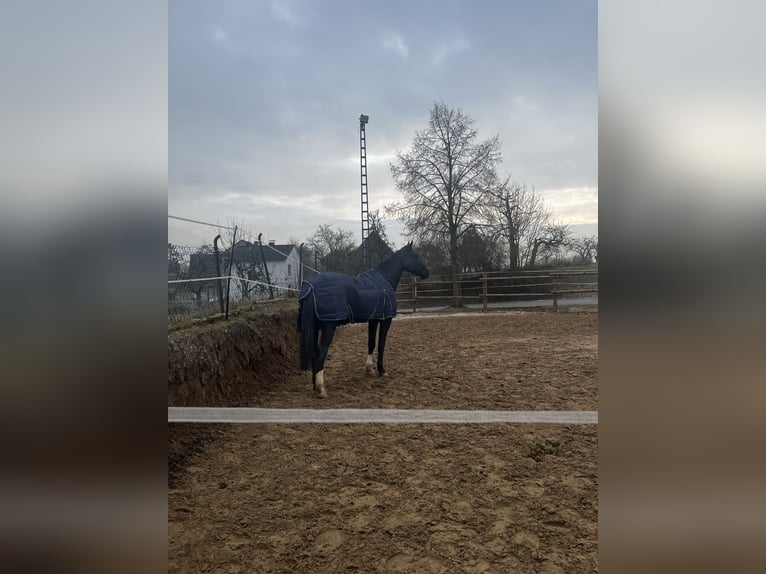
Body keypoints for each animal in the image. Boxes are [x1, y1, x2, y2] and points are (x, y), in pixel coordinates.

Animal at [298, 242, 430, 398]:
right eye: (415, 256)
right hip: (328, 328)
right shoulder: (386, 320)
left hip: (315, 327)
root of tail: (310, 287)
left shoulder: (374, 319)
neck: (384, 279)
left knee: (313, 354)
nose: (427, 272)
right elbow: (381, 344)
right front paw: (382, 370)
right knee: (320, 354)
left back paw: (315, 386)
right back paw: (321, 389)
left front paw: (370, 369)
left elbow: (371, 343)